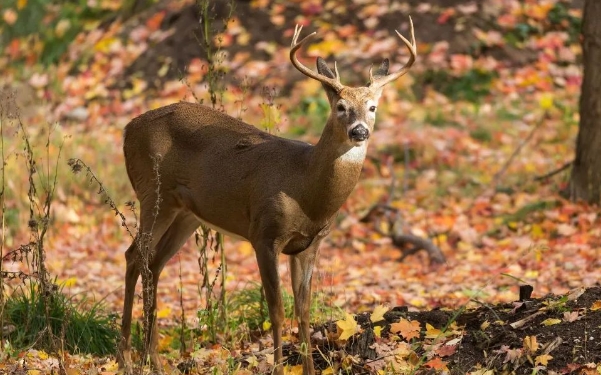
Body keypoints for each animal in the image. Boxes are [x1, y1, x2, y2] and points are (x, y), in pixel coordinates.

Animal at [118, 17, 418, 375]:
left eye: (373, 107)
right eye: (341, 107)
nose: (360, 131)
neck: (306, 190)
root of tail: (126, 130)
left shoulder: (309, 243)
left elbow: (304, 310)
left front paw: (309, 369)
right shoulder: (264, 233)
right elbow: (276, 309)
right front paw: (277, 366)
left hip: (186, 213)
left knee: (154, 262)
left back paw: (154, 359)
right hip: (153, 191)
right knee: (134, 255)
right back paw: (126, 358)